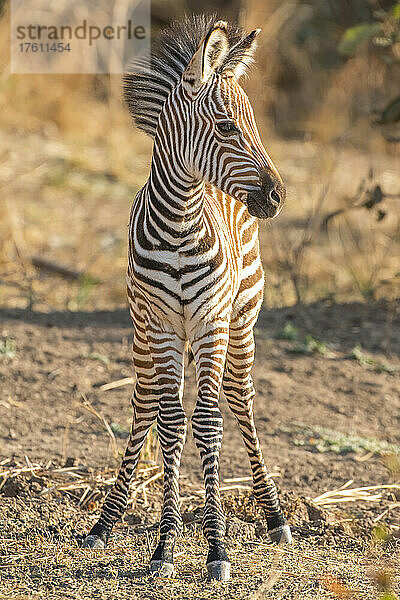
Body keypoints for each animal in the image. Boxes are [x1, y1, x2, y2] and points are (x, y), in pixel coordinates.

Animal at [83, 15, 290, 580]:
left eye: (255, 122)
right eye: (227, 127)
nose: (278, 197)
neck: (180, 221)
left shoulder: (211, 322)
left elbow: (208, 422)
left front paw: (216, 549)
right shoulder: (158, 325)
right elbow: (172, 421)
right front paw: (164, 544)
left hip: (239, 320)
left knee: (238, 396)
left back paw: (274, 516)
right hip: (145, 332)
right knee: (145, 401)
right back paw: (107, 520)